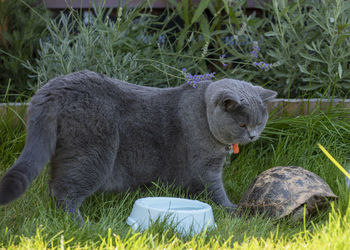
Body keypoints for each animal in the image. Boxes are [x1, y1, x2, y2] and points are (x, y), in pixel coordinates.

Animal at [0, 70, 276, 221]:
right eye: (242, 124)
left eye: (260, 122)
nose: (253, 136)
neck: (203, 114)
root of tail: (53, 88)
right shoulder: (205, 168)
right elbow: (215, 191)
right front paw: (234, 210)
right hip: (93, 153)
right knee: (64, 191)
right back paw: (80, 223)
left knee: (53, 187)